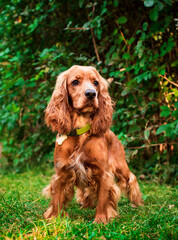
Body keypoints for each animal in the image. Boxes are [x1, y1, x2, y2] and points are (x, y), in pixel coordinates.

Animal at [42, 65, 143, 223]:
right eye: (75, 81)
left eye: (96, 82)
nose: (91, 94)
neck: (81, 130)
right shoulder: (61, 172)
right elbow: (57, 198)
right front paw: (54, 219)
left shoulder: (102, 173)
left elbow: (102, 200)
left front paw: (100, 221)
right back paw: (85, 206)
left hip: (121, 167)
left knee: (131, 179)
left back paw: (137, 204)